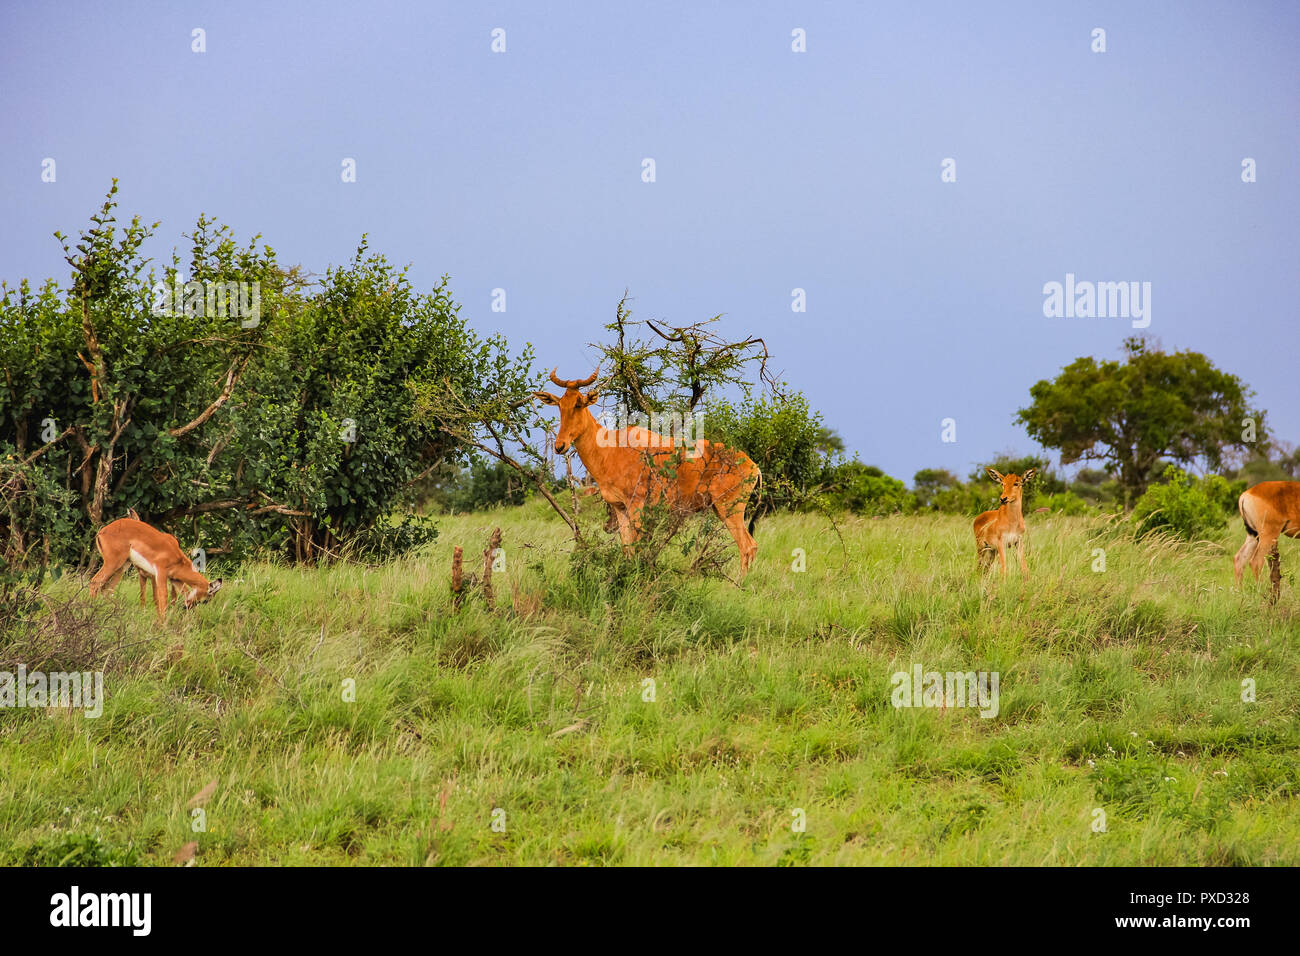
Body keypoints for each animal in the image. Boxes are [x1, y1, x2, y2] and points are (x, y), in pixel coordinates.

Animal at [89, 517, 223, 621]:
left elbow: (183, 594)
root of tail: (102, 532)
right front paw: (163, 626)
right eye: (206, 600)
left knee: (106, 589)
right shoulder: (160, 573)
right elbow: (162, 597)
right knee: (95, 582)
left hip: (122, 566)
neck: (177, 557)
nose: (187, 607)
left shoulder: (175, 580)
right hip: (113, 563)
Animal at [534, 369, 761, 577]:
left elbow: (637, 546)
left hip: (730, 508)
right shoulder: (620, 508)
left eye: (579, 403)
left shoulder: (637, 505)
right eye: (560, 405)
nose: (560, 446)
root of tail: (753, 465)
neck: (612, 449)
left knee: (747, 546)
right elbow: (627, 548)